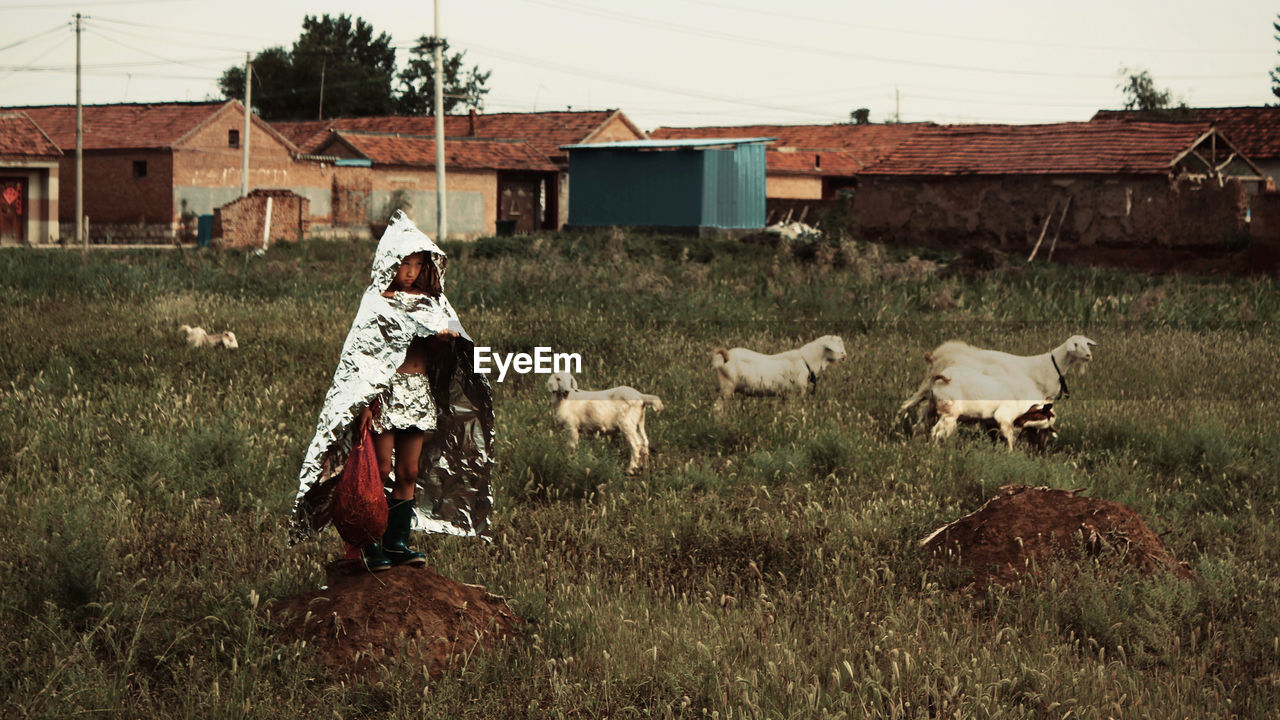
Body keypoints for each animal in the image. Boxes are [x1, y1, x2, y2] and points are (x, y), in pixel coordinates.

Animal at [931, 363, 1059, 448]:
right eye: (1039, 416)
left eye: (1043, 427)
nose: (1019, 423)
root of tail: (944, 378)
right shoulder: (1003, 417)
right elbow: (1010, 438)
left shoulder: (991, 422)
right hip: (950, 415)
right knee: (938, 433)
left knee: (933, 431)